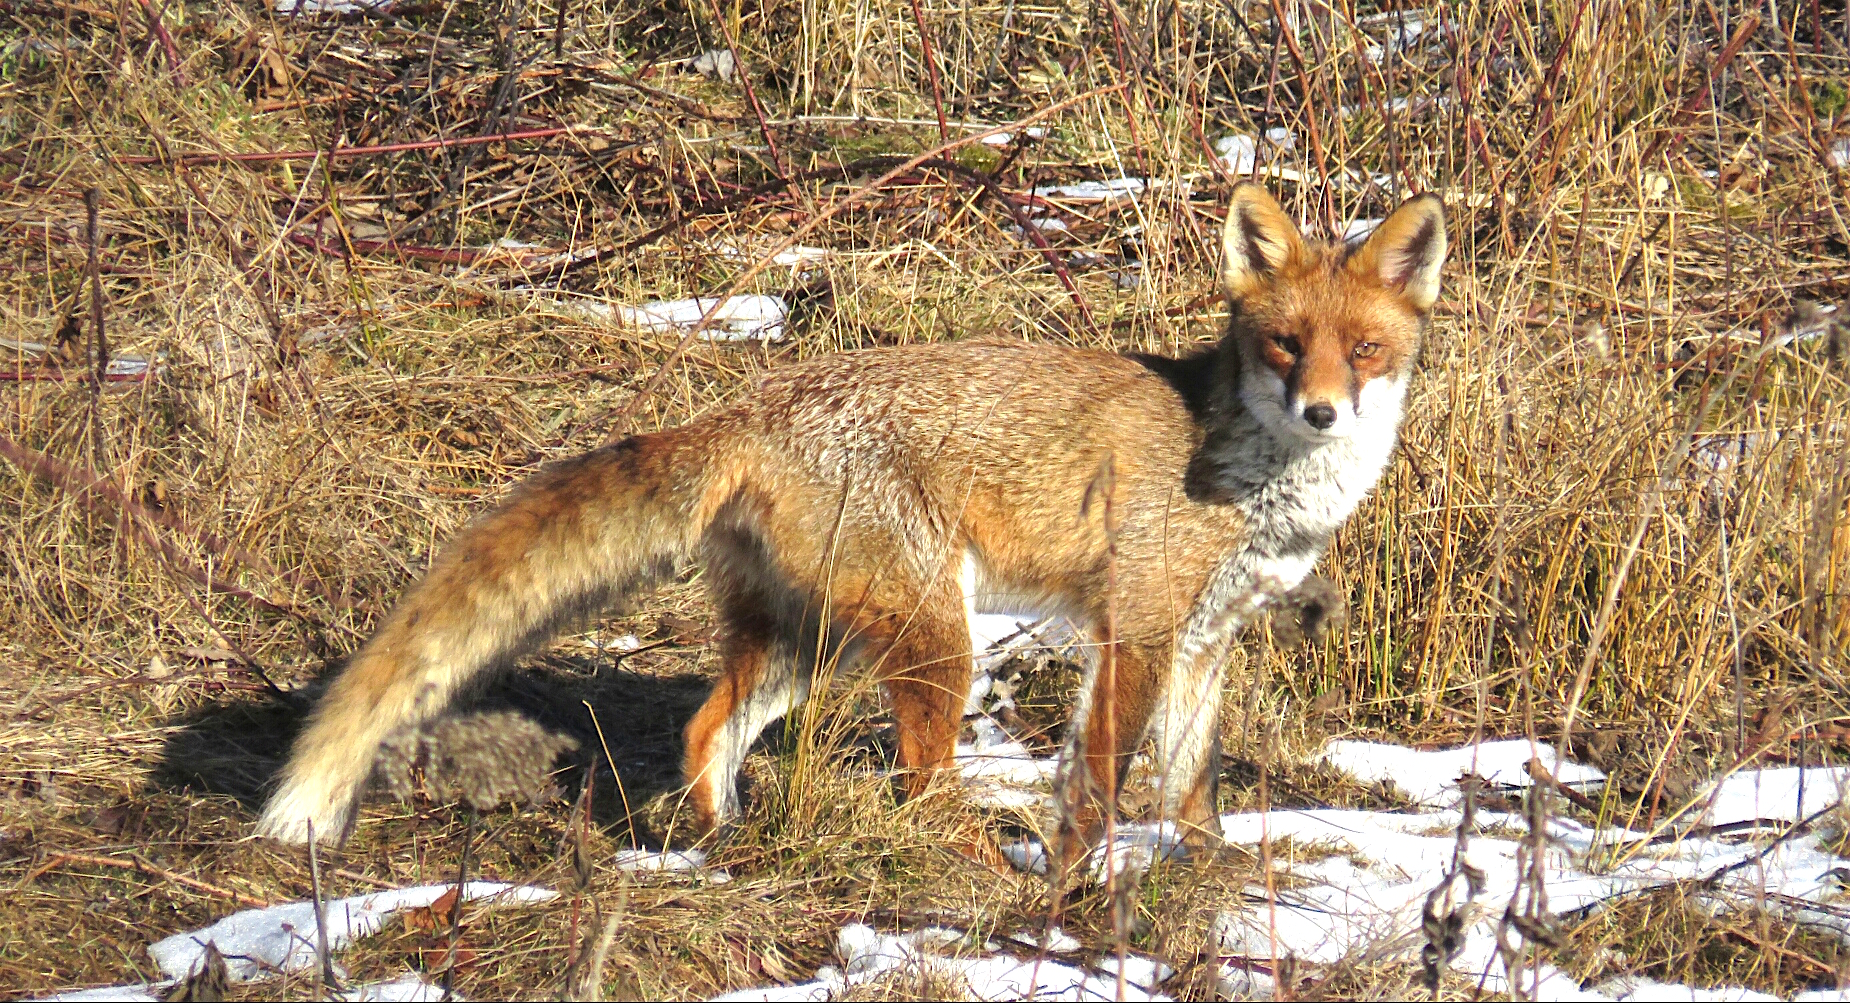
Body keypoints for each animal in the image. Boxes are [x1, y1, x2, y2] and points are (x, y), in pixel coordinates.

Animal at [256, 183, 1446, 856]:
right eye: (1285, 345)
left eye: (1364, 350)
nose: (1322, 410)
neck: (1255, 480)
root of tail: (745, 406)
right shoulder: (1140, 626)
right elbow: (1100, 779)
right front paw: (1077, 883)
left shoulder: (1206, 639)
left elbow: (1193, 786)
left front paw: (1203, 875)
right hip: (935, 639)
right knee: (917, 781)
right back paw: (972, 869)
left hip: (814, 640)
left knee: (706, 728)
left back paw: (718, 846)